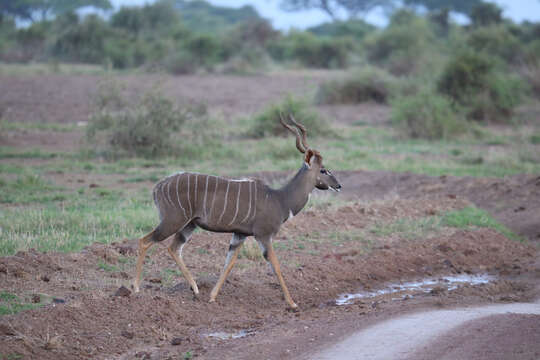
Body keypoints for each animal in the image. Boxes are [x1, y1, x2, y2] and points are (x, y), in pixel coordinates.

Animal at [132, 114, 342, 308]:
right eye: (323, 170)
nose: (338, 186)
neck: (280, 199)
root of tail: (157, 187)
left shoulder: (239, 235)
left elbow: (229, 263)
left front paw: (212, 297)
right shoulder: (264, 235)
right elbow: (275, 265)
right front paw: (292, 303)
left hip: (189, 224)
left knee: (173, 248)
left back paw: (196, 289)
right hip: (173, 221)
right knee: (145, 241)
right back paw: (135, 288)